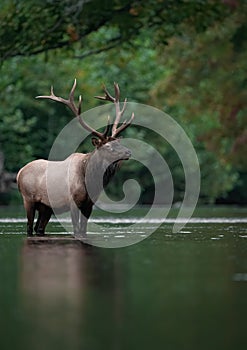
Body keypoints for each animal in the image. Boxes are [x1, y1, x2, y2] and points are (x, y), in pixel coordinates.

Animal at [16, 79, 134, 238]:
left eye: (118, 143)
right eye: (108, 147)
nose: (128, 152)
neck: (90, 180)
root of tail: (19, 173)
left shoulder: (89, 204)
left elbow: (83, 230)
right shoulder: (73, 201)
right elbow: (76, 230)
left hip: (46, 207)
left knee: (39, 228)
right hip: (28, 199)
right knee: (29, 227)